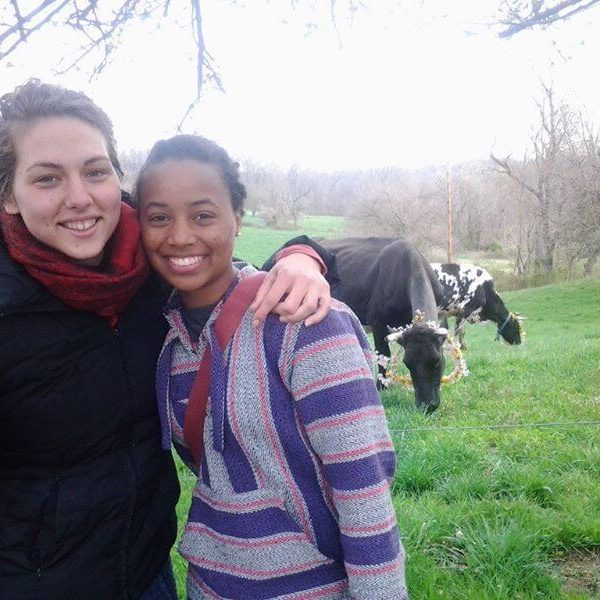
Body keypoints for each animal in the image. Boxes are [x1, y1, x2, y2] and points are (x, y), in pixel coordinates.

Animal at [324, 237, 446, 414]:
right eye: (407, 363)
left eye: (436, 360)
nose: (426, 405)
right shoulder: (378, 321)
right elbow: (384, 355)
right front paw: (381, 386)